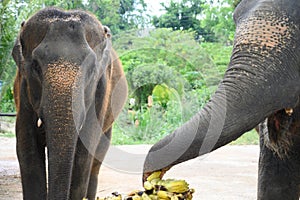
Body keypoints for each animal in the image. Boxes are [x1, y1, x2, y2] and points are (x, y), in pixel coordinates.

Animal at [11, 7, 126, 199]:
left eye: (91, 69)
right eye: (35, 66)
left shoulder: (100, 89)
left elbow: (84, 152)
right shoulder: (23, 87)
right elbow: (27, 148)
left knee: (97, 158)